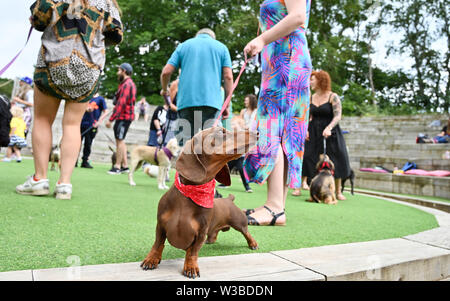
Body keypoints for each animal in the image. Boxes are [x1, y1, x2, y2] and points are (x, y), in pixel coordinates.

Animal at [141, 126, 260, 276]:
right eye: (220, 131)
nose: (257, 132)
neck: (191, 193)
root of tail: (229, 199)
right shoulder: (161, 226)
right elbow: (158, 244)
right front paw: (151, 259)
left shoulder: (201, 233)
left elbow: (192, 252)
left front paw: (191, 267)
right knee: (215, 232)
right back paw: (211, 240)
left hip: (240, 222)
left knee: (246, 232)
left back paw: (253, 244)